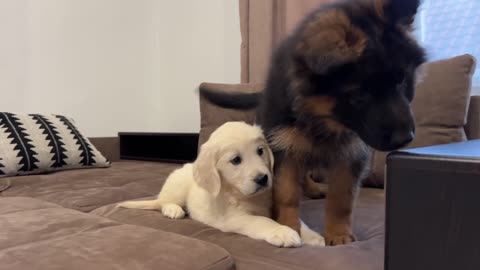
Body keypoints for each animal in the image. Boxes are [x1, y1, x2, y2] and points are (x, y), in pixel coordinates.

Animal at [117, 121, 324, 248]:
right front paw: (282, 232)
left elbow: (298, 220)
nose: (262, 178)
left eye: (260, 151)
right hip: (178, 188)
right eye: (236, 160)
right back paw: (173, 210)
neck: (243, 194)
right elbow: (262, 221)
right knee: (163, 202)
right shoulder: (235, 217)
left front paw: (313, 237)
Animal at [201, 0, 426, 246]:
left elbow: (342, 198)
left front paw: (338, 234)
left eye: (402, 80)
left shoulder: (351, 153)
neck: (322, 119)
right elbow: (287, 192)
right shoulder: (283, 147)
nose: (405, 138)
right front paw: (288, 226)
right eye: (360, 93)